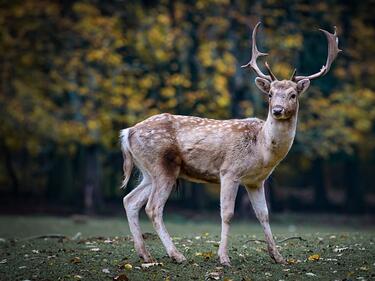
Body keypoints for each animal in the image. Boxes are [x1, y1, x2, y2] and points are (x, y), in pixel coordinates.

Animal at [119, 21, 340, 264]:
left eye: (293, 95)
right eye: (270, 94)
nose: (277, 110)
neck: (262, 150)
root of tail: (127, 132)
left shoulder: (256, 181)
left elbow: (263, 215)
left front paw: (278, 256)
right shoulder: (229, 172)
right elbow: (227, 214)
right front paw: (223, 258)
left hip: (148, 171)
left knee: (130, 200)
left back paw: (145, 254)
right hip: (162, 166)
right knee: (153, 207)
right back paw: (176, 255)